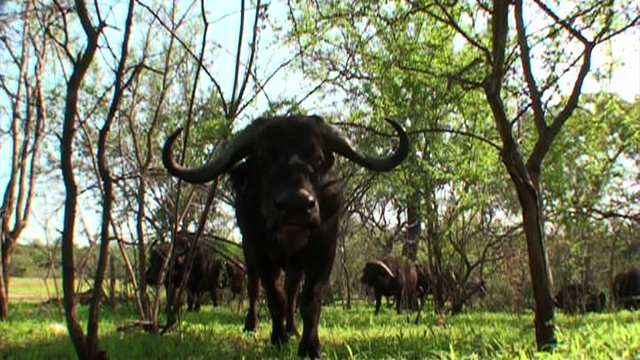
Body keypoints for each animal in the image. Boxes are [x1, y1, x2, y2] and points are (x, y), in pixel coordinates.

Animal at [162, 115, 408, 358]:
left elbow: (309, 301)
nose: (296, 205)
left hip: (296, 266)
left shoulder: (324, 254)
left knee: (291, 291)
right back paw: (253, 325)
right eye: (264, 157)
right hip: (249, 255)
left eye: (317, 158)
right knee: (254, 289)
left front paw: (310, 346)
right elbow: (274, 298)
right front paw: (278, 338)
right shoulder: (261, 255)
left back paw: (293, 328)